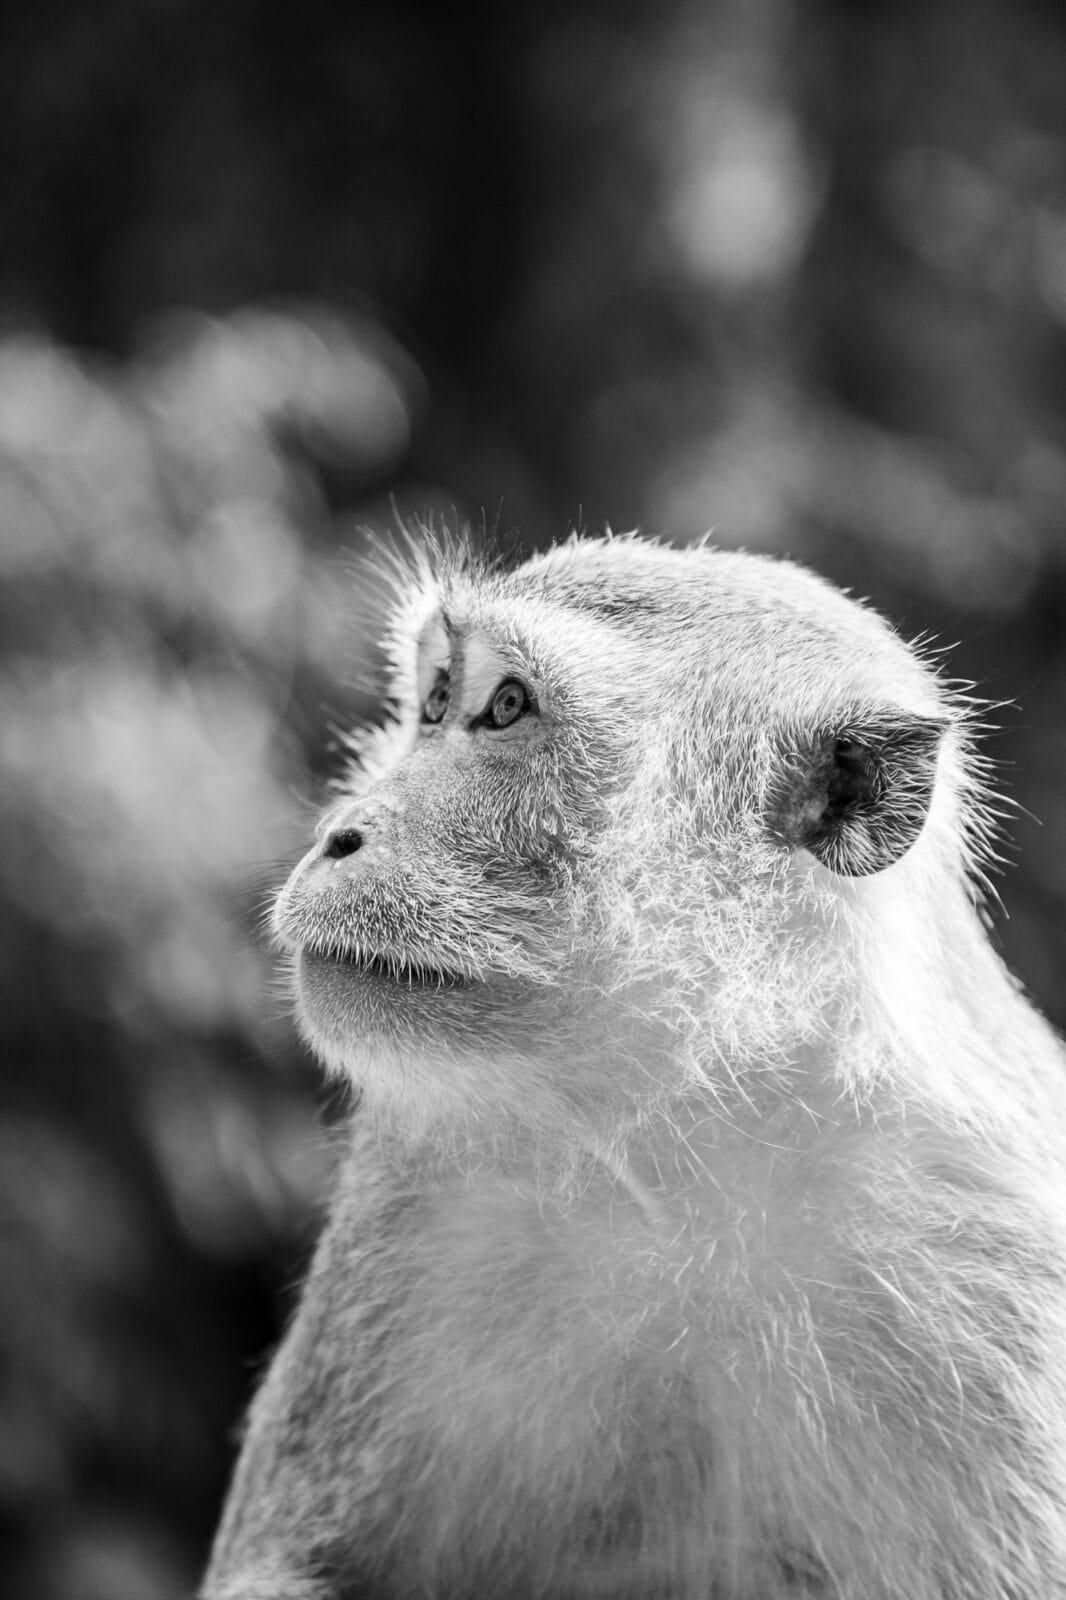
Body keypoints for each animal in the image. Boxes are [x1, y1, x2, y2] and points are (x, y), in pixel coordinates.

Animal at [202, 529, 1066, 1600]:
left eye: (509, 707)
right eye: (437, 700)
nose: (340, 835)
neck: (693, 1143)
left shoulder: (1000, 1274)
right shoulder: (417, 1181)